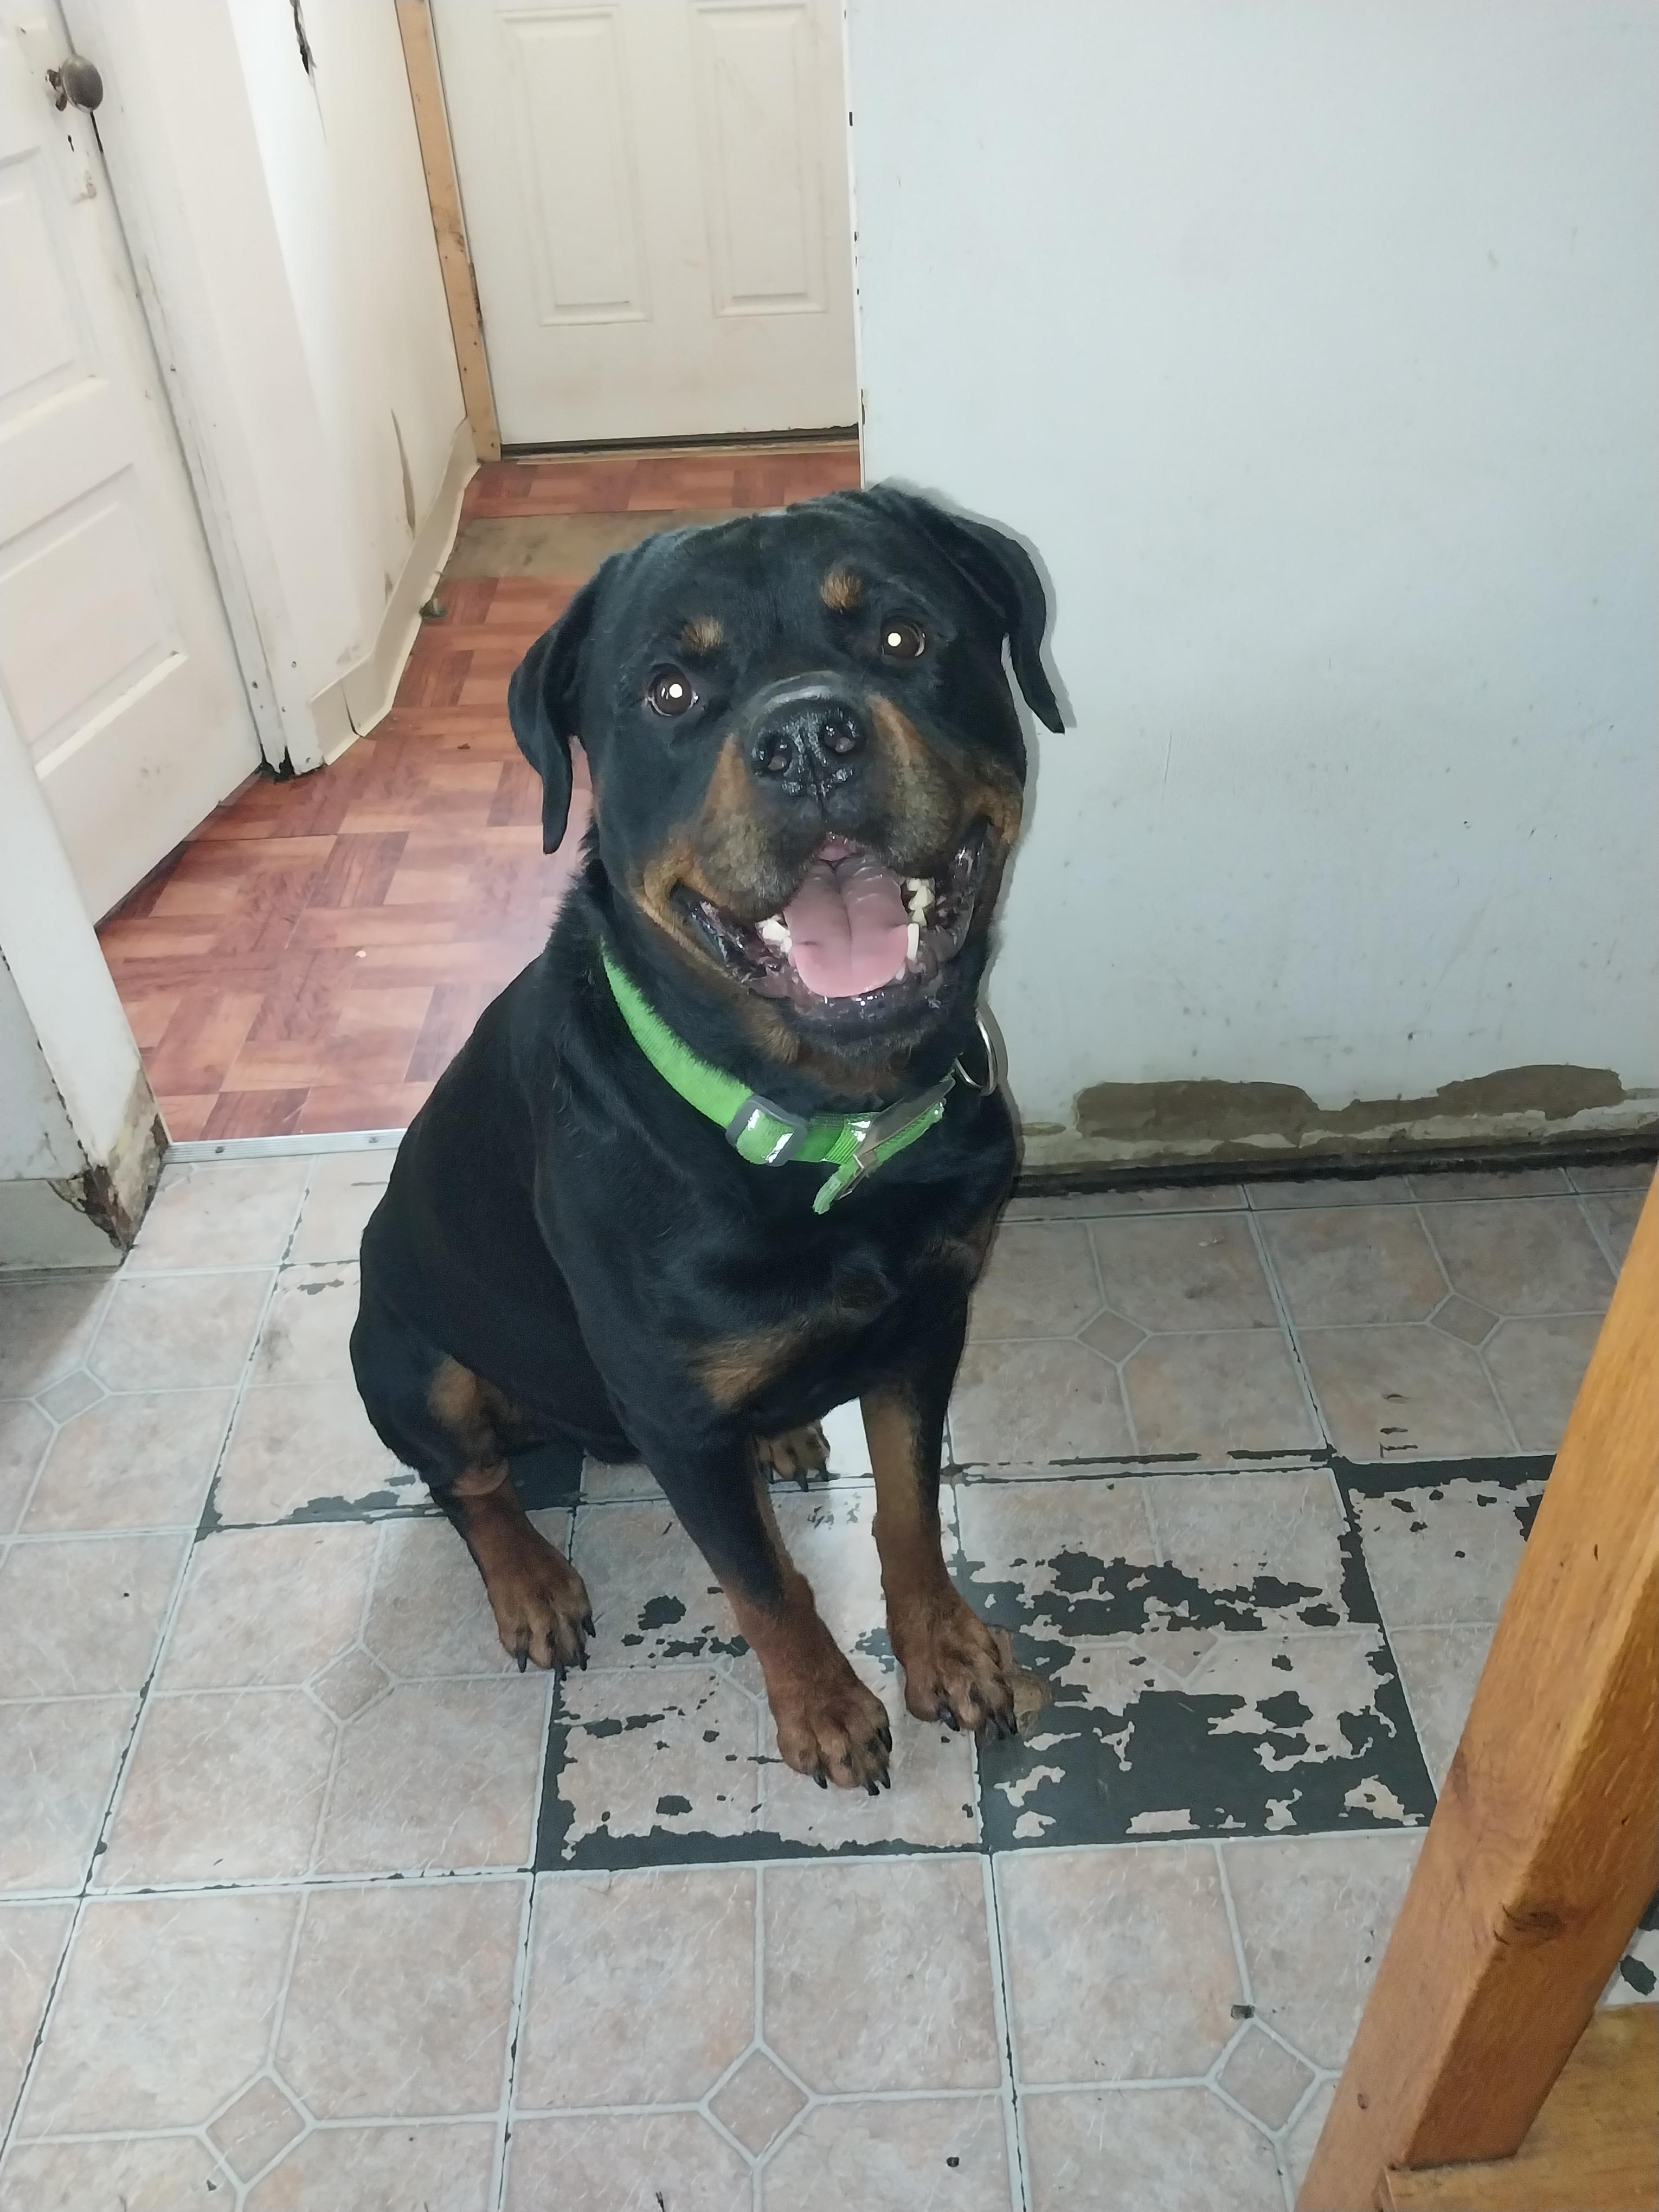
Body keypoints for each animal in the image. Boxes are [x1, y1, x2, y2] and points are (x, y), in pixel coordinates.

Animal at [351, 484, 1062, 1791]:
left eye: (902, 635)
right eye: (671, 691)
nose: (810, 740)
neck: (829, 1131)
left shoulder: (927, 1325)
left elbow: (909, 1508)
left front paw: (944, 1646)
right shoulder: (674, 1415)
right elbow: (763, 1582)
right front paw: (824, 1708)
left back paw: (782, 1434)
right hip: (403, 1351)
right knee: (469, 1482)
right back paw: (530, 1580)